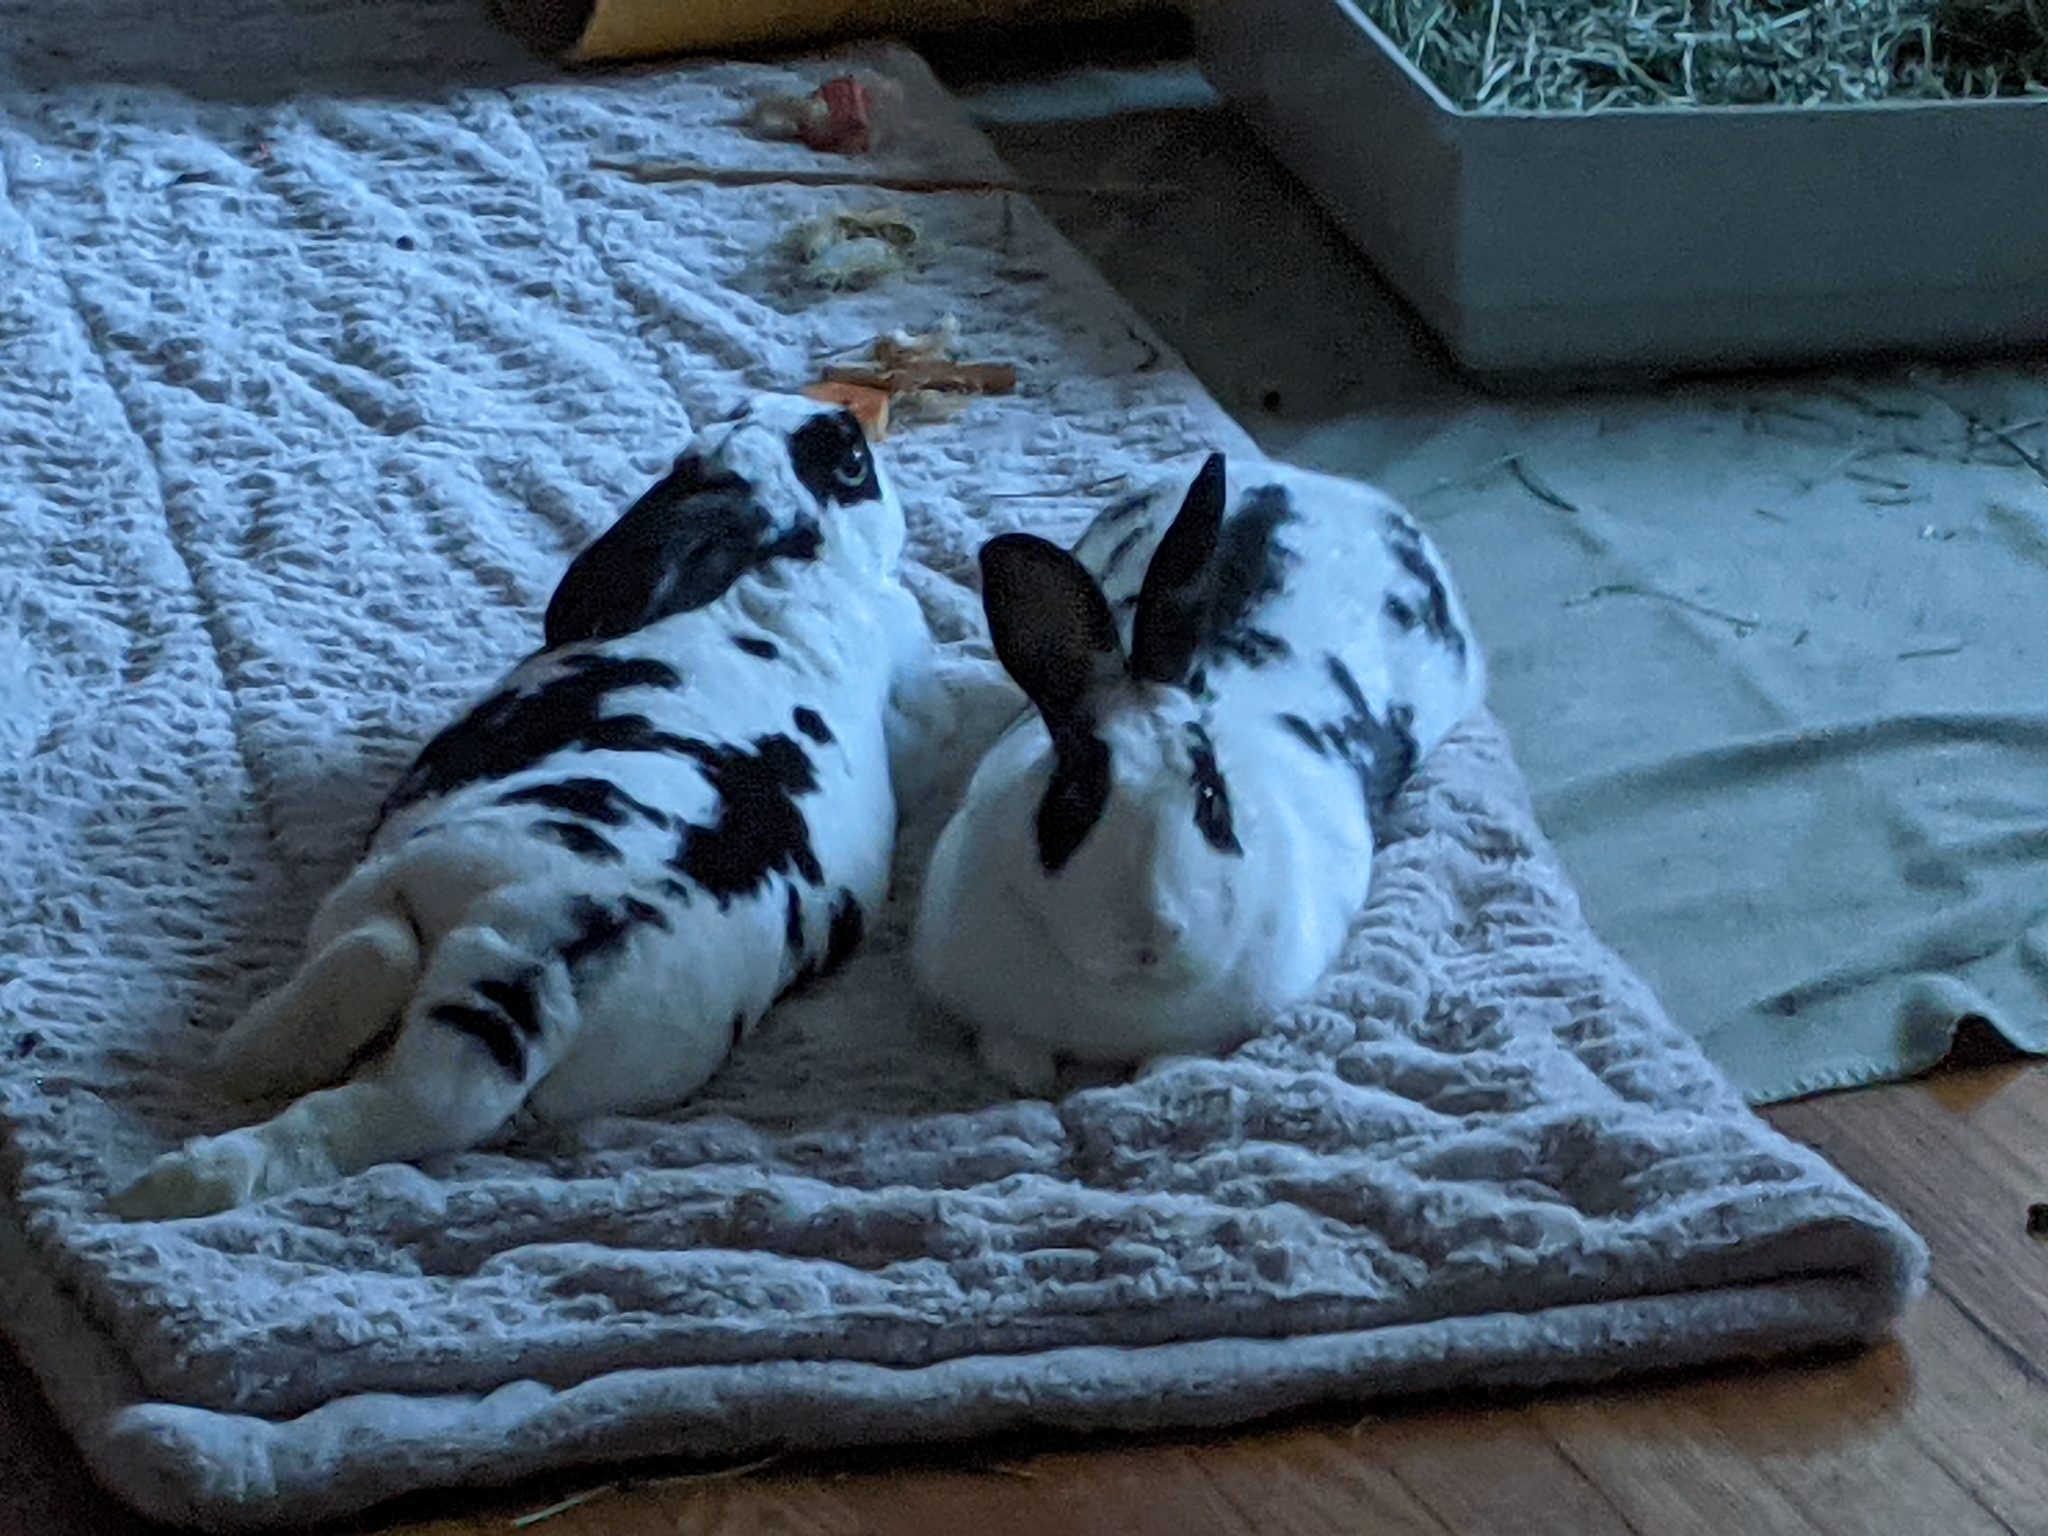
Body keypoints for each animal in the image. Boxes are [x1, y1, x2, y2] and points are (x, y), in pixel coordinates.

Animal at [112, 393, 934, 1219]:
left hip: (407, 876)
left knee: (371, 961)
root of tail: (556, 958)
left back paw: (211, 1113)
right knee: (387, 1100)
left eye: (848, 459)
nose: (844, 414)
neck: (800, 570)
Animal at [911, 450, 1486, 1096]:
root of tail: (1312, 481)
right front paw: (1027, 1074)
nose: (1150, 939)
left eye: (1213, 799)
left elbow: (1179, 1057)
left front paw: (1154, 1073)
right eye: (1075, 797)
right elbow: (1008, 1047)